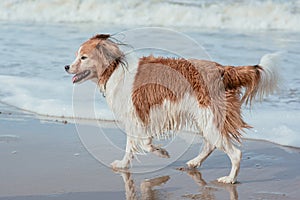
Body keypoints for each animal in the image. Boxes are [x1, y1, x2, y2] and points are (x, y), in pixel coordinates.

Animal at [64, 33, 280, 184]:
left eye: (83, 57)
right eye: (77, 56)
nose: (66, 67)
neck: (115, 68)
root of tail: (222, 69)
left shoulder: (137, 117)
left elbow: (143, 144)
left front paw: (161, 152)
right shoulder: (137, 119)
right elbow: (132, 146)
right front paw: (124, 165)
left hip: (209, 118)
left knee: (235, 153)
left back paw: (230, 179)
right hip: (205, 119)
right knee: (210, 144)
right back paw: (194, 163)